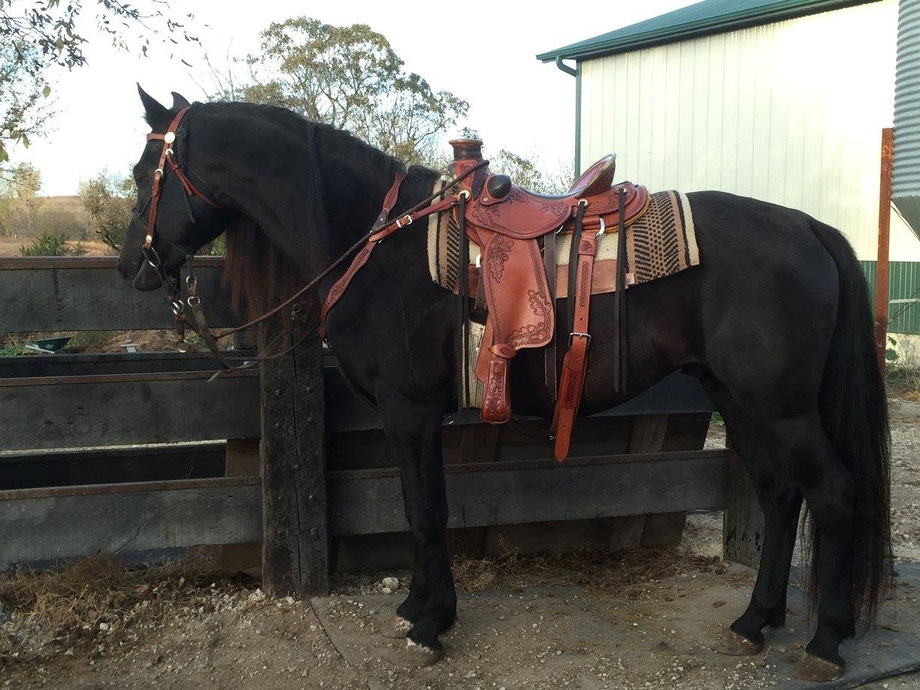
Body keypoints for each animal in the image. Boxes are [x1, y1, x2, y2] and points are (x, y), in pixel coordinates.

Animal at [117, 87, 890, 682]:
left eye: (142, 171)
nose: (133, 268)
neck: (378, 243)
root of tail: (807, 226)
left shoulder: (410, 412)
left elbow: (427, 512)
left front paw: (431, 624)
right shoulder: (407, 418)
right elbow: (415, 508)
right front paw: (418, 607)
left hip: (780, 407)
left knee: (834, 492)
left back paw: (825, 640)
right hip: (739, 398)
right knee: (781, 493)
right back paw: (756, 620)